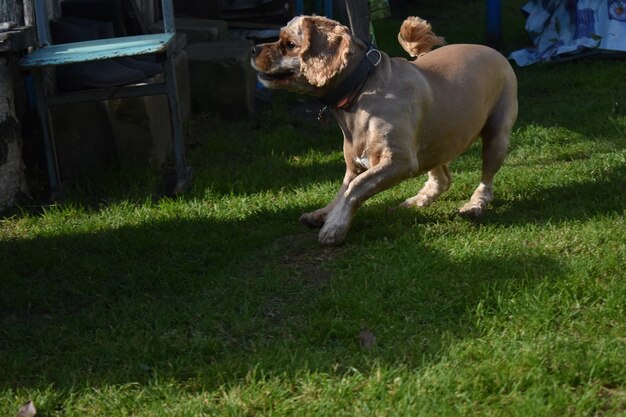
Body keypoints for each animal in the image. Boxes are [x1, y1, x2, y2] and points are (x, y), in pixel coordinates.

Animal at [249, 15, 516, 244]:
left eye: (290, 44)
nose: (253, 50)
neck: (361, 90)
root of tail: (494, 51)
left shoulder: (399, 161)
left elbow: (354, 190)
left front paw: (334, 227)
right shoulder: (355, 165)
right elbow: (342, 191)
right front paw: (323, 214)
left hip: (496, 137)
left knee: (486, 181)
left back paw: (474, 206)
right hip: (435, 143)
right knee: (442, 180)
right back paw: (415, 202)